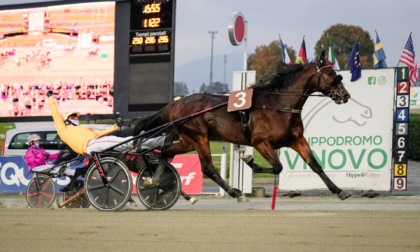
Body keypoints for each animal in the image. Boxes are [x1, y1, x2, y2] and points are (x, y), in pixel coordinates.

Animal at [135, 50, 352, 202]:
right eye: (330, 73)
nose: (345, 95)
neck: (278, 105)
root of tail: (177, 103)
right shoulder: (260, 142)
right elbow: (278, 167)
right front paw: (249, 161)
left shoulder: (296, 139)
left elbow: (315, 165)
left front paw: (339, 191)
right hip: (199, 137)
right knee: (208, 168)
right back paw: (236, 192)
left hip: (189, 140)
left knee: (165, 151)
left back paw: (153, 179)